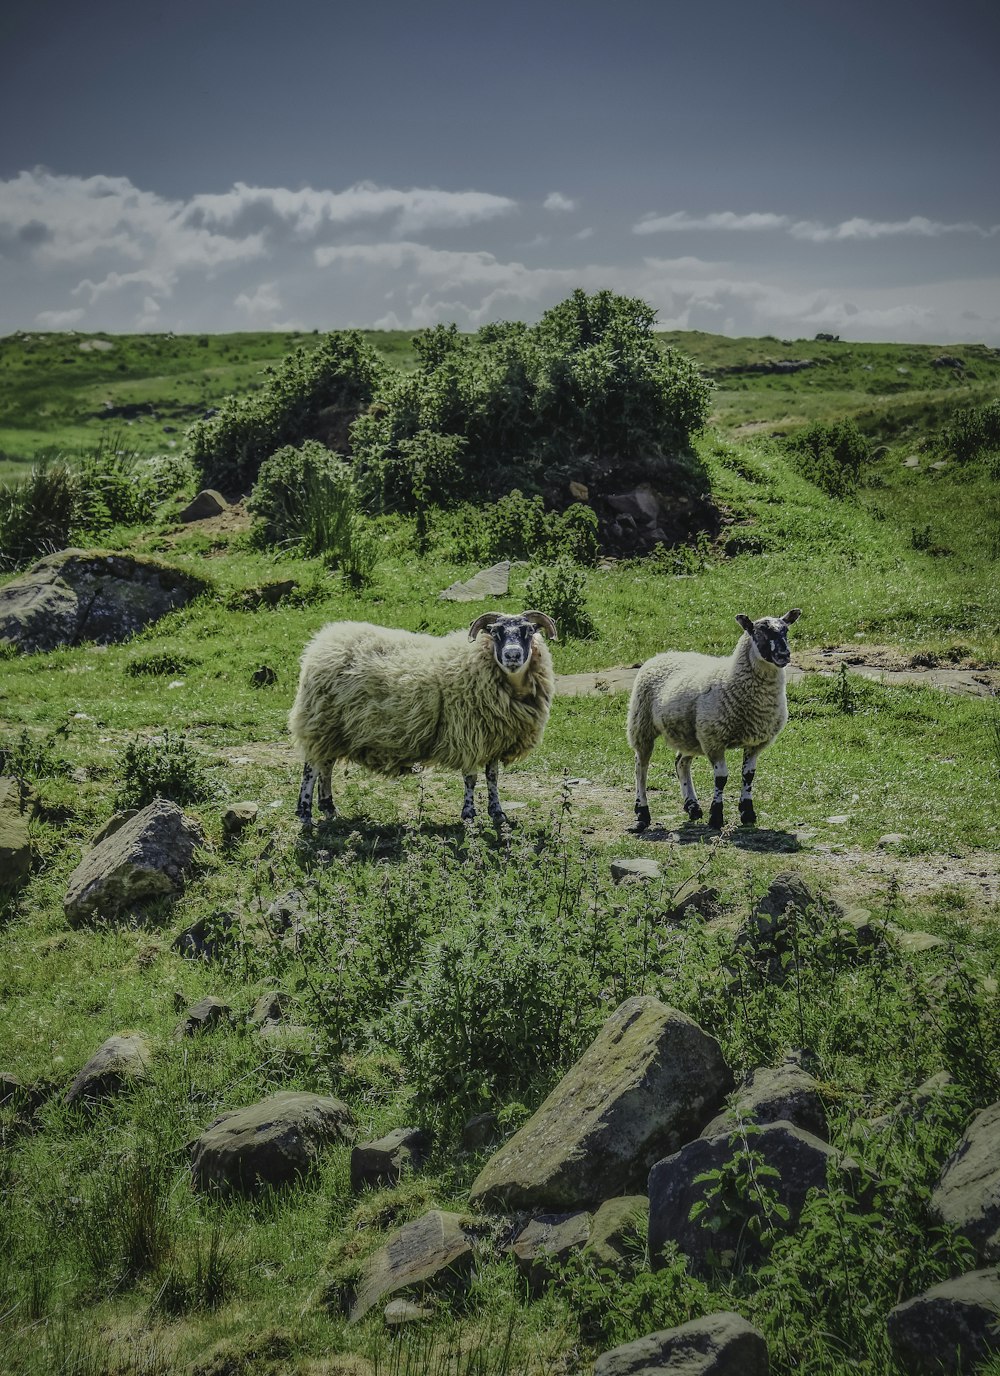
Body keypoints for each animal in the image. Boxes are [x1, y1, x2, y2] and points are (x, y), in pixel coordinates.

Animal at [286, 613, 558, 825]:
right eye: (494, 632)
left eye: (528, 630)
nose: (512, 655)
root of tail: (323, 641)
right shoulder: (468, 734)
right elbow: (470, 778)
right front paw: (469, 814)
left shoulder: (493, 738)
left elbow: (493, 778)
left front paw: (498, 813)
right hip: (320, 721)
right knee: (311, 768)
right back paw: (305, 813)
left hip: (334, 730)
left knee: (326, 766)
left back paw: (329, 808)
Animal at [629, 610, 803, 825]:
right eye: (759, 631)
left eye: (786, 630)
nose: (784, 655)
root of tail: (663, 654)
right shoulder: (714, 740)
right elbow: (721, 778)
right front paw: (716, 816)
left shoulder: (754, 743)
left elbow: (748, 776)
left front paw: (747, 813)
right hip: (641, 724)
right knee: (641, 767)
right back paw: (642, 811)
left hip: (691, 735)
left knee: (681, 763)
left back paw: (692, 806)